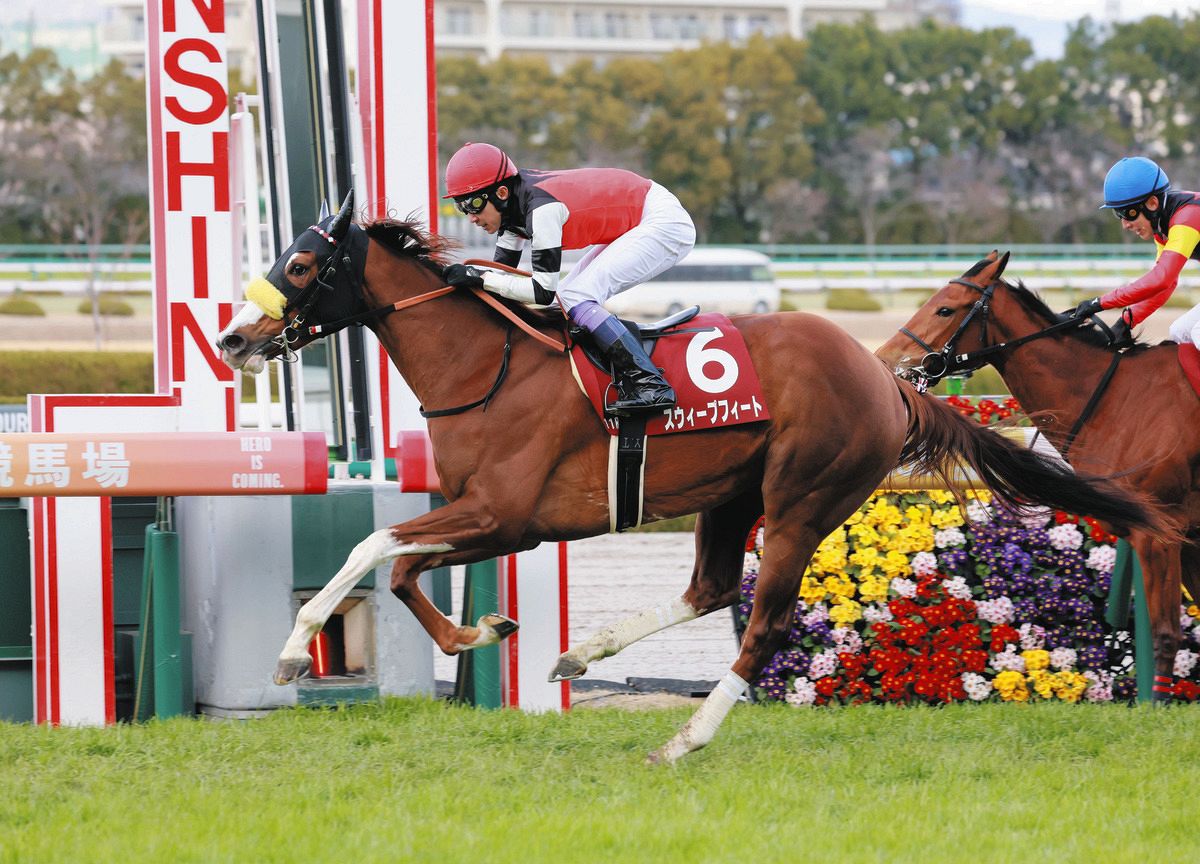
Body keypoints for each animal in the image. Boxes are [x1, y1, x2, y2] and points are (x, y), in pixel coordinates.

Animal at [876, 250, 1195, 702]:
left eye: (944, 309)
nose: (885, 361)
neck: (1117, 398)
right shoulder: (1185, 535)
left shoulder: (1160, 533)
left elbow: (1165, 632)